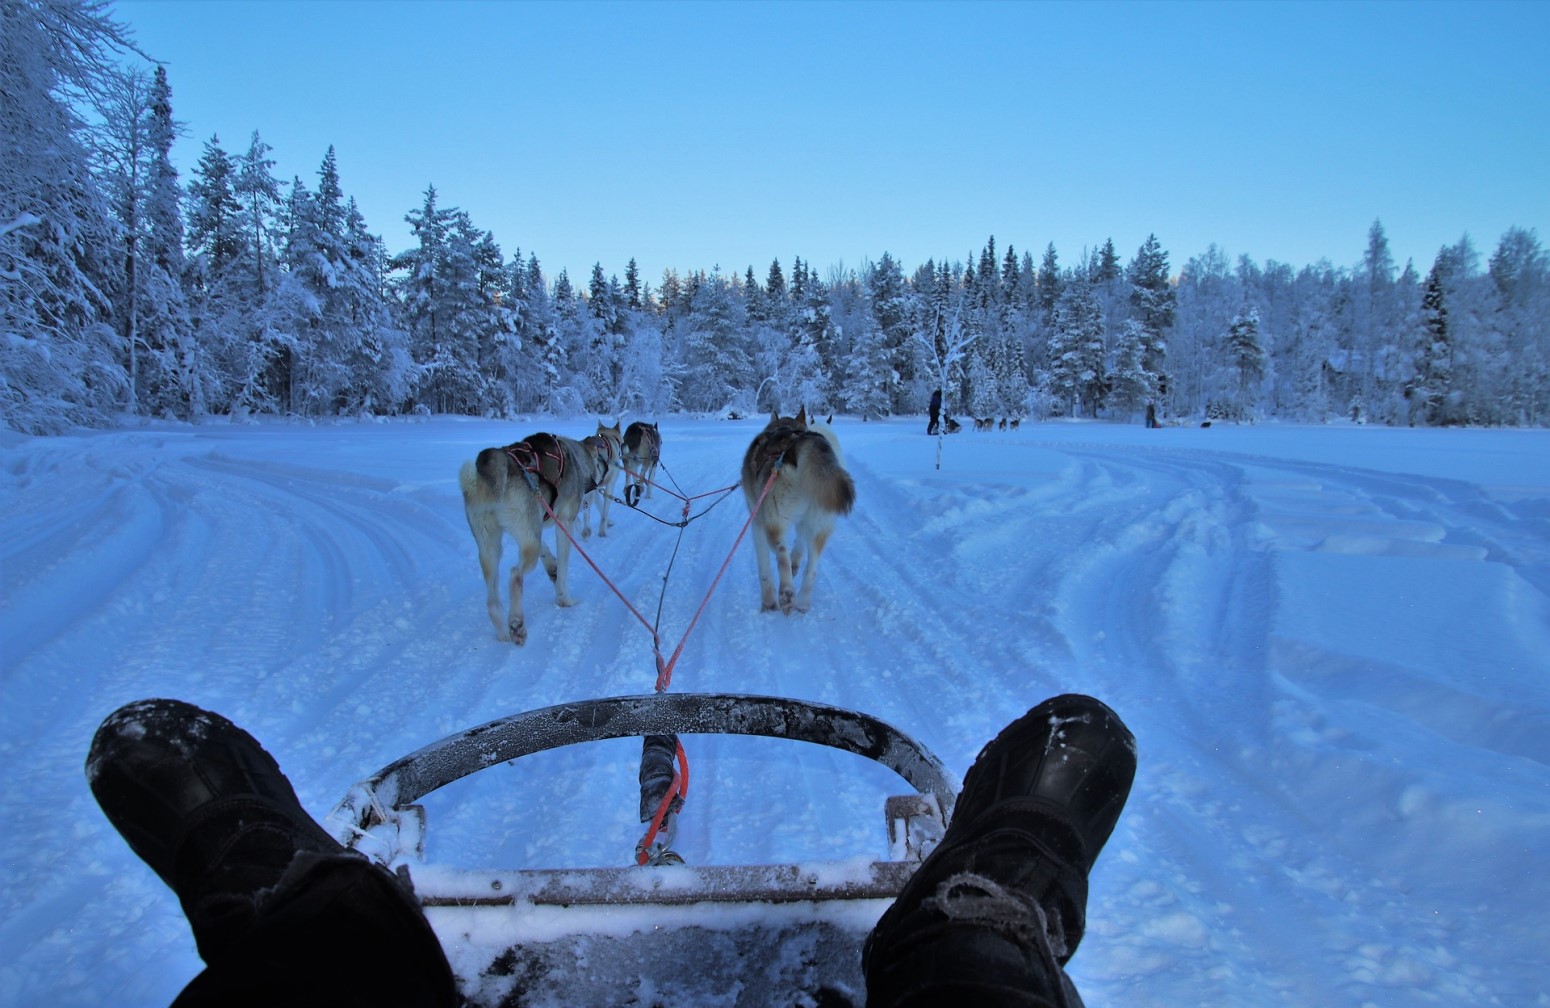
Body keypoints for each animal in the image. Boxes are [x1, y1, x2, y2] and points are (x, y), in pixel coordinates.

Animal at [455, 431, 595, 645]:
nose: (595, 484)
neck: (574, 456)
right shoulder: (564, 523)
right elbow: (563, 571)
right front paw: (565, 599)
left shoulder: (536, 528)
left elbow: (548, 552)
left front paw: (552, 567)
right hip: (527, 544)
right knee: (515, 575)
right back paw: (516, 622)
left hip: (490, 547)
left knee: (492, 602)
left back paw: (504, 632)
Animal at [740, 406, 861, 611]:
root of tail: (796, 443)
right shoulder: (804, 524)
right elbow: (800, 545)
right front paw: (796, 562)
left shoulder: (757, 522)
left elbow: (764, 569)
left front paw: (768, 602)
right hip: (820, 524)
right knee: (811, 570)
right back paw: (803, 602)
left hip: (774, 522)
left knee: (781, 553)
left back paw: (787, 592)